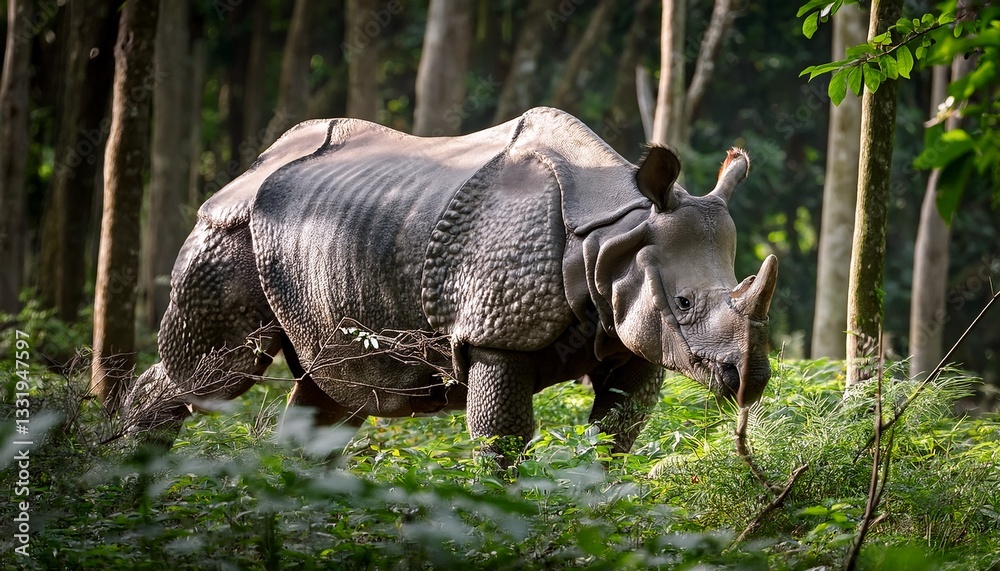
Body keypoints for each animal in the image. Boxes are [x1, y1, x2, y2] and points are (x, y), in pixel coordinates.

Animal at [122, 107, 777, 462]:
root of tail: (249, 167)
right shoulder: (494, 332)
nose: (747, 378)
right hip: (227, 228)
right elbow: (502, 441)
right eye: (684, 302)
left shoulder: (630, 335)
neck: (614, 231)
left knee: (338, 393)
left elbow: (614, 438)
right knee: (214, 377)